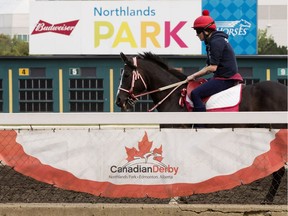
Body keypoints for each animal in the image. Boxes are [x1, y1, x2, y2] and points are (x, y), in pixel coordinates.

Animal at [116, 51, 286, 203]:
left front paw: (175, 198)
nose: (119, 101)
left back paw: (268, 199)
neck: (175, 97)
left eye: (126, 75)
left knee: (279, 169)